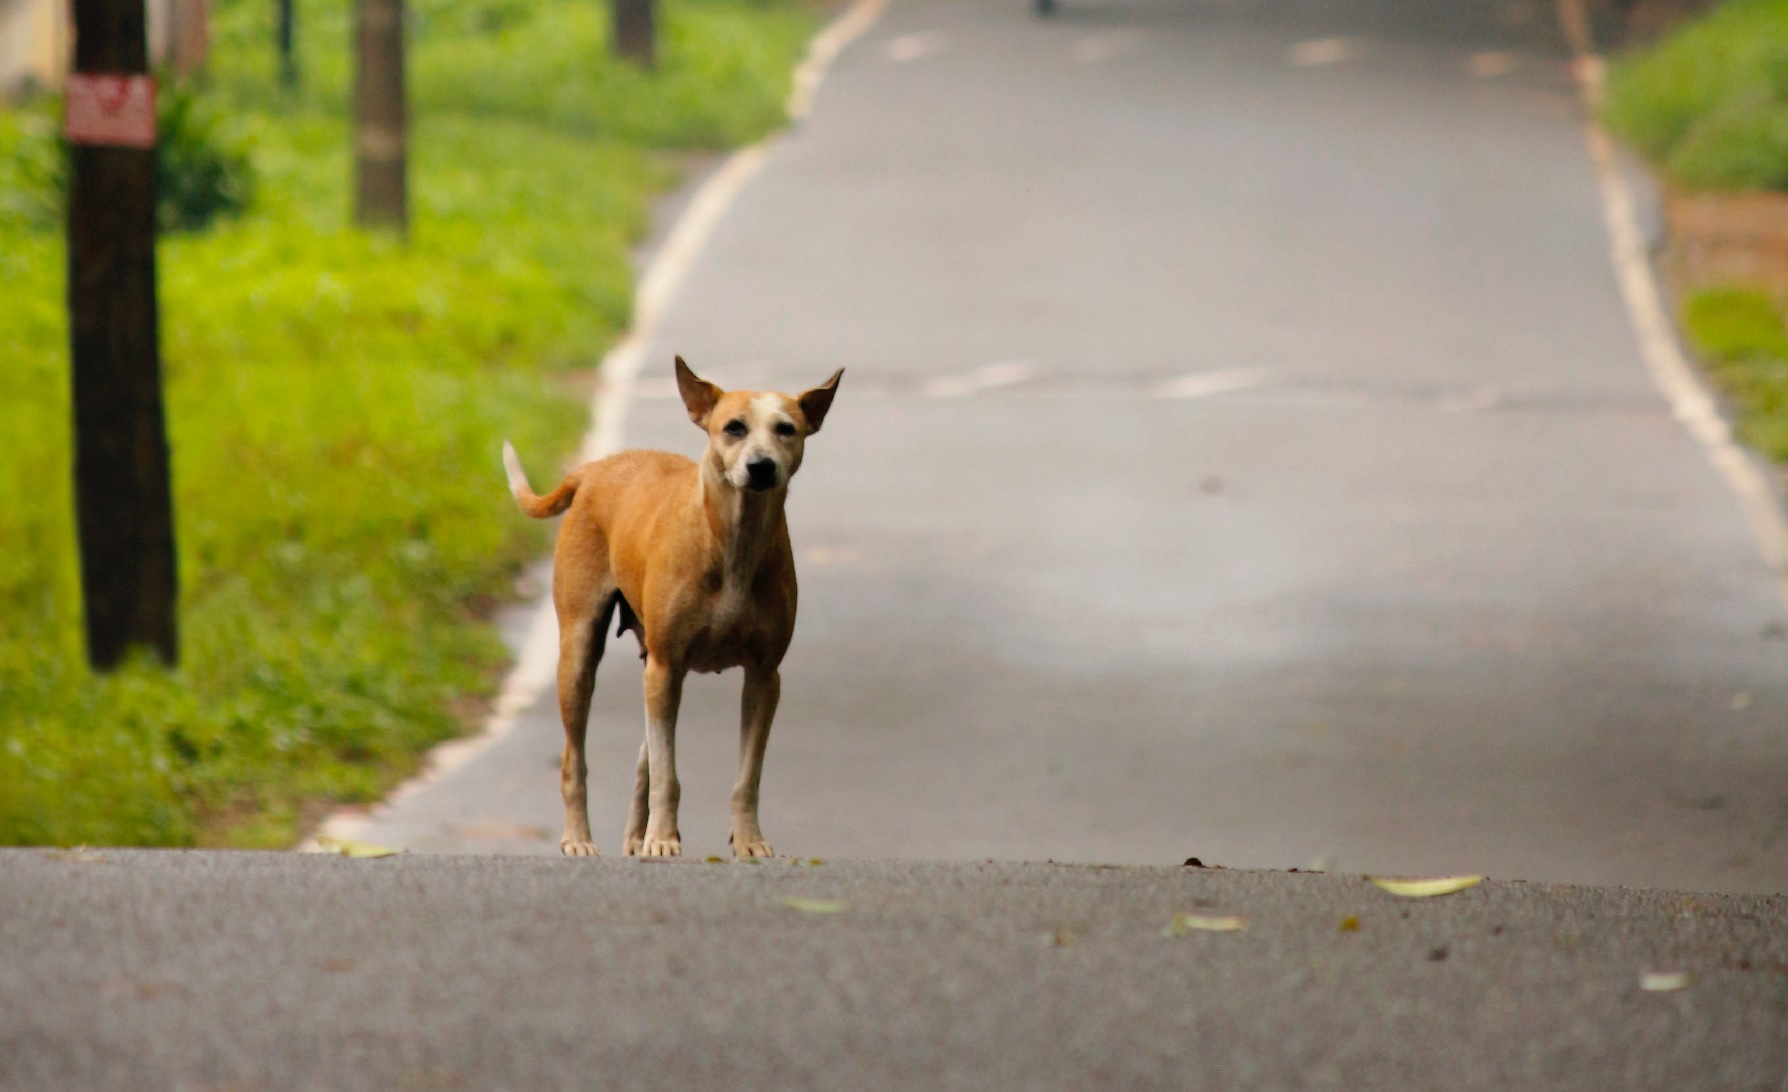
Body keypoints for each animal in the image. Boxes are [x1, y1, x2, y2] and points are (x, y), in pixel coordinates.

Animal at [500, 357, 840, 854]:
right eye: (734, 428)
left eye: (786, 429)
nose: (760, 467)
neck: (732, 541)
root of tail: (596, 468)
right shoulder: (666, 667)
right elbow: (668, 774)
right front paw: (662, 839)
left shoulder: (764, 676)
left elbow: (747, 774)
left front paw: (748, 841)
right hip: (583, 652)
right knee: (575, 757)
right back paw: (581, 838)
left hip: (653, 665)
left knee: (644, 757)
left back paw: (634, 837)